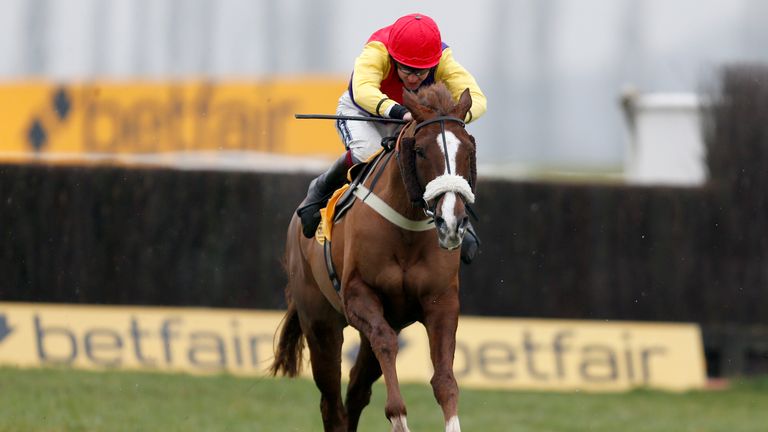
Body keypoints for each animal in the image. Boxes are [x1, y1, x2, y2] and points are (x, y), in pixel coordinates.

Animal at [268, 82, 474, 432]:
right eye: (420, 150)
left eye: (469, 150)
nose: (451, 222)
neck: (407, 228)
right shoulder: (358, 295)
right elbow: (386, 343)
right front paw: (398, 415)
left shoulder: (441, 301)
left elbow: (445, 378)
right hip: (320, 322)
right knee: (332, 403)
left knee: (356, 391)